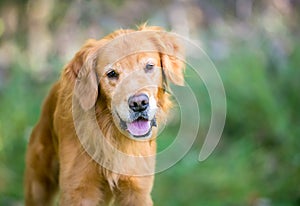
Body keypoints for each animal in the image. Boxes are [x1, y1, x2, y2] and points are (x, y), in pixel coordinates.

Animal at [25, 25, 185, 205]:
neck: (111, 134)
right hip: (38, 184)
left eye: (149, 66)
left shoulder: (136, 190)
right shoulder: (77, 189)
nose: (139, 103)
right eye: (112, 73)